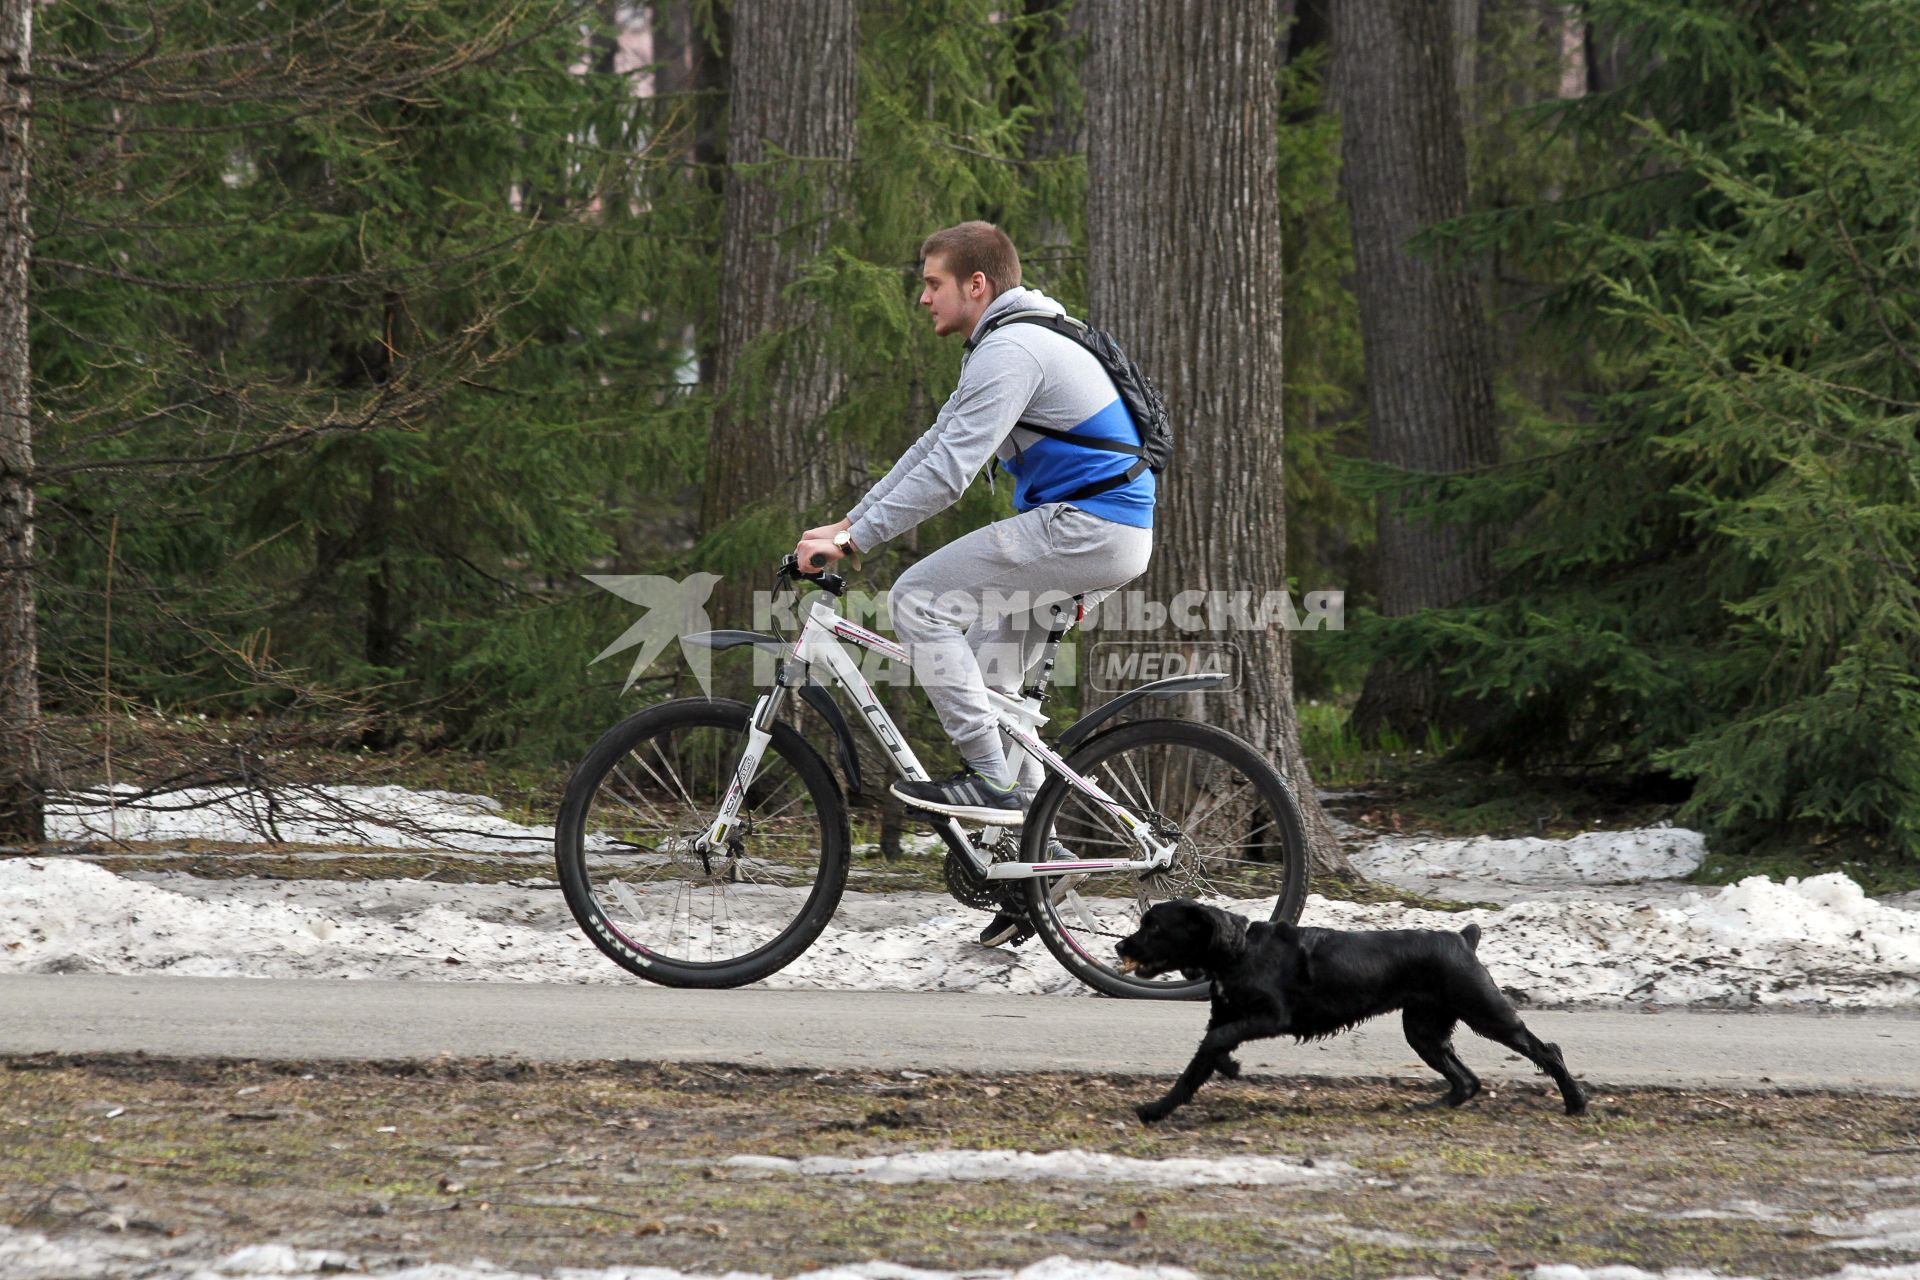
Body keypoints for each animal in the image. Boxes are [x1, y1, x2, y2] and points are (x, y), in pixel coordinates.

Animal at [1121, 901, 1582, 1120]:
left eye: (1153, 926)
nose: (1120, 945)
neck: (1237, 952)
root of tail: (1462, 938)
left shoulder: (1271, 1016)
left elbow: (1215, 1043)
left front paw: (1228, 1066)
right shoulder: (1227, 1018)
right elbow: (1196, 1067)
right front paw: (1156, 1110)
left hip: (1487, 1013)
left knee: (1547, 1051)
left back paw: (1576, 1102)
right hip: (1424, 1031)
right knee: (1466, 1080)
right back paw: (1431, 1108)